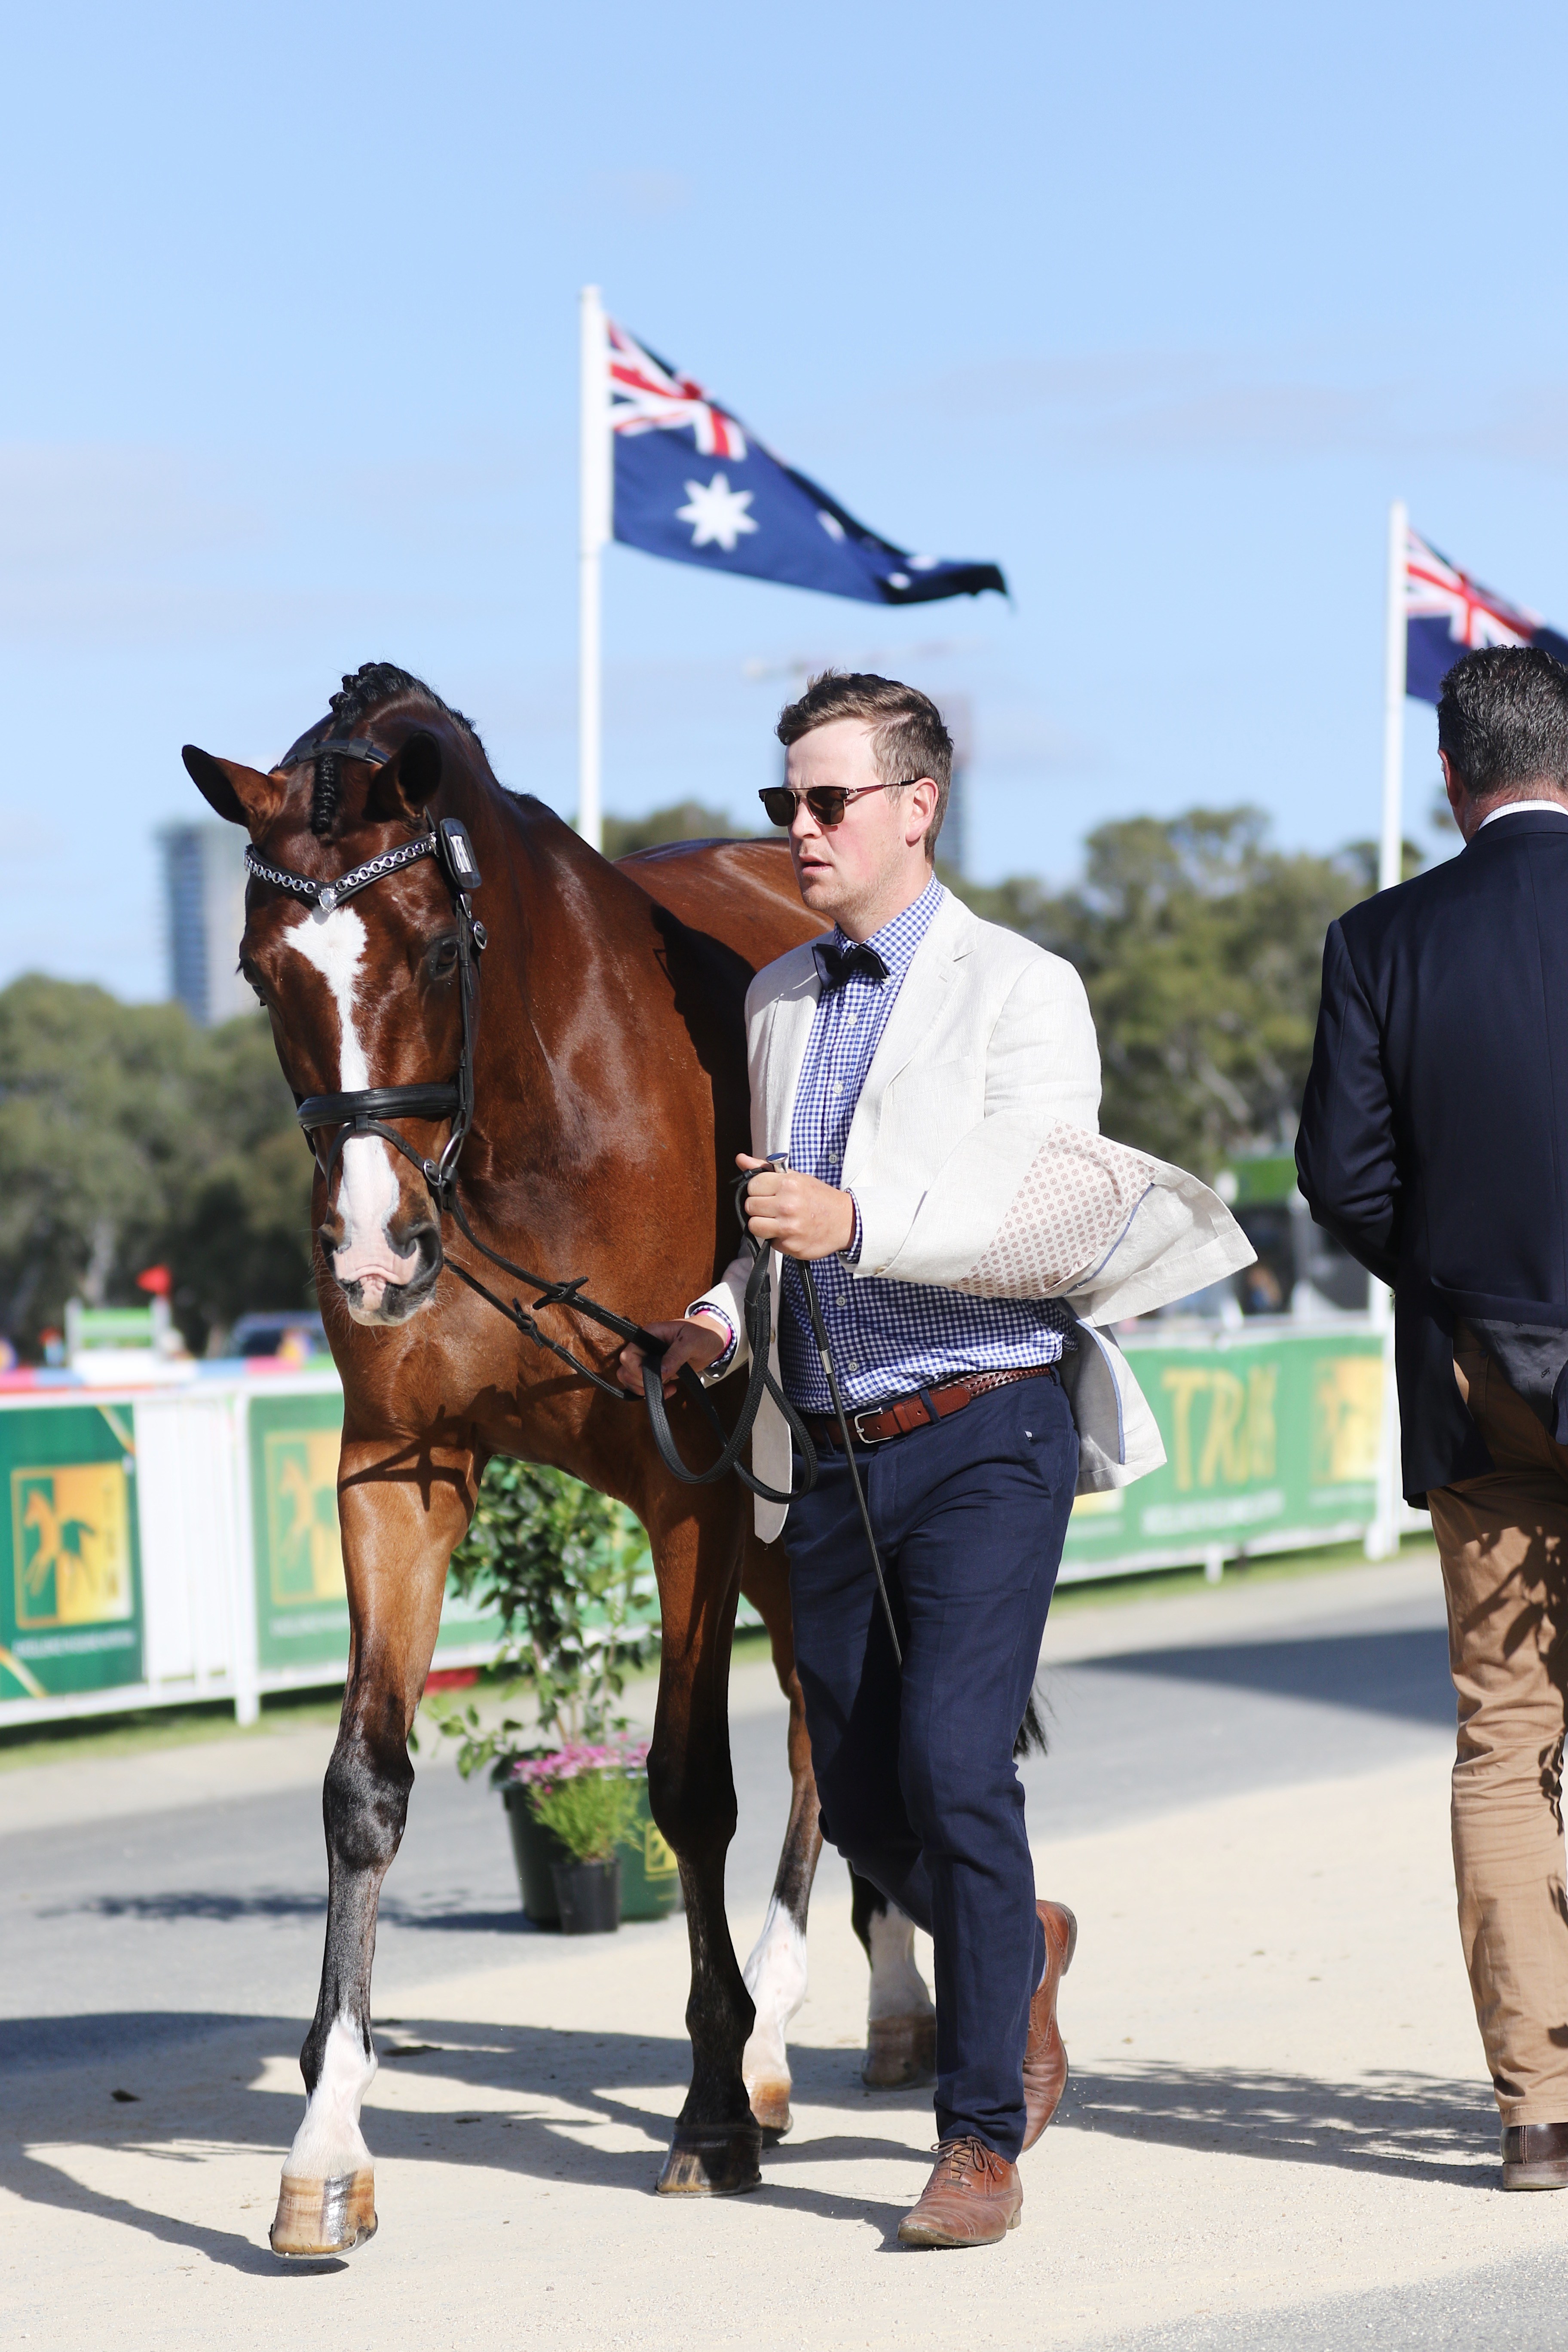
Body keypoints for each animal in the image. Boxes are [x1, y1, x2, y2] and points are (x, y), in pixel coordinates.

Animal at [181, 663, 931, 2258]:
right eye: (262, 970)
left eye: (431, 949)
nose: (372, 1252)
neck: (521, 1121)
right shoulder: (399, 1472)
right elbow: (363, 1787)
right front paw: (326, 2143)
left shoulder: (689, 1478)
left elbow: (688, 1787)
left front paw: (707, 2117)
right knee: (826, 1715)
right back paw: (819, 2025)